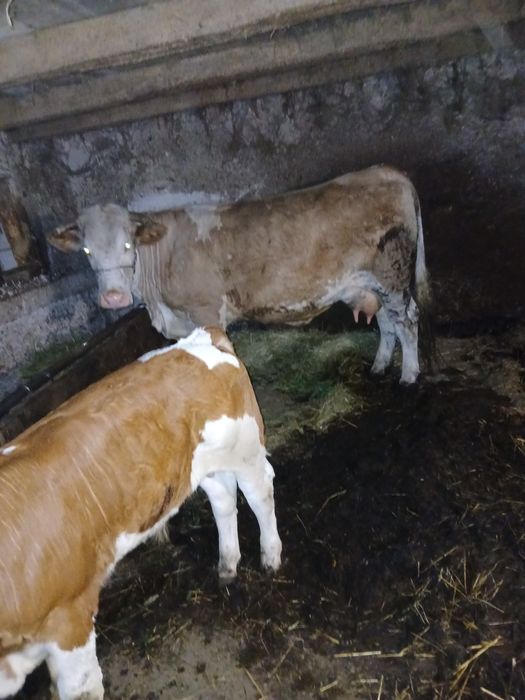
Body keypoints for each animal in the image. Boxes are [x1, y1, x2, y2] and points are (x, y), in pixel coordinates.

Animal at [0, 327, 281, 699]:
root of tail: (201, 339)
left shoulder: (69, 618)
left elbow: (83, 688)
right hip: (202, 465)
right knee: (223, 499)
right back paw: (227, 565)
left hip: (246, 447)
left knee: (261, 493)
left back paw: (270, 557)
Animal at [47, 165, 432, 384]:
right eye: (87, 252)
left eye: (128, 245)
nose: (113, 297)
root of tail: (386, 171)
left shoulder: (206, 312)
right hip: (372, 282)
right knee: (387, 323)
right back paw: (380, 366)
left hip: (393, 274)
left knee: (408, 318)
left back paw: (410, 374)